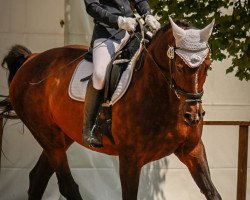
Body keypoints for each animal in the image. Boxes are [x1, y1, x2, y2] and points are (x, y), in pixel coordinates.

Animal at [1, 18, 221, 200]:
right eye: (180, 67)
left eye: (208, 65)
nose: (193, 115)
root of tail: (31, 59)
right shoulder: (130, 159)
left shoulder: (192, 150)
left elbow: (212, 192)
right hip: (47, 136)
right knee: (66, 186)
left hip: (62, 136)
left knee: (37, 178)